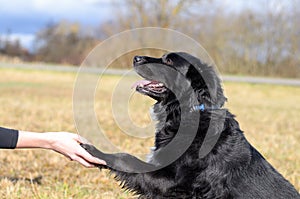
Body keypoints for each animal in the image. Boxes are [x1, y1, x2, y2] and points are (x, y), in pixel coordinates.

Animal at [81, 52, 298, 198]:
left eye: (169, 61)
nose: (136, 57)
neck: (189, 113)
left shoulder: (171, 182)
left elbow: (126, 158)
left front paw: (93, 151)